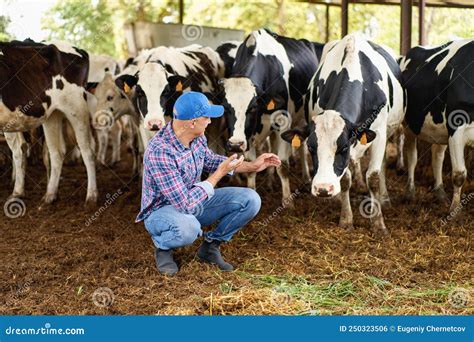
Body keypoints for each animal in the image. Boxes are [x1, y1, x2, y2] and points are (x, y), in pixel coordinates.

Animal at [0, 40, 97, 206]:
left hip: (76, 107)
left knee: (87, 149)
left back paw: (91, 196)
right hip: (52, 114)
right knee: (55, 152)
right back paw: (48, 195)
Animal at [217, 28, 324, 206]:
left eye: (252, 107)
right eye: (225, 107)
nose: (235, 145)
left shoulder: (283, 122)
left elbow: (283, 165)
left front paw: (287, 201)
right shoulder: (249, 133)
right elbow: (252, 166)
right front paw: (252, 190)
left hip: (302, 117)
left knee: (302, 147)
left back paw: (305, 176)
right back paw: (269, 181)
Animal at [282, 34, 404, 234]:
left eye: (343, 147)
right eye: (311, 147)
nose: (323, 189)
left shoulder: (379, 134)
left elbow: (374, 177)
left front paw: (378, 223)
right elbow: (346, 179)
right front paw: (346, 219)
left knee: (382, 166)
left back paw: (384, 198)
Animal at [400, 39, 474, 211]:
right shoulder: (457, 128)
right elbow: (459, 174)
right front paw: (455, 210)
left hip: (439, 129)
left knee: (437, 157)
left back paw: (440, 194)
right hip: (408, 126)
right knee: (412, 156)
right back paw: (410, 193)